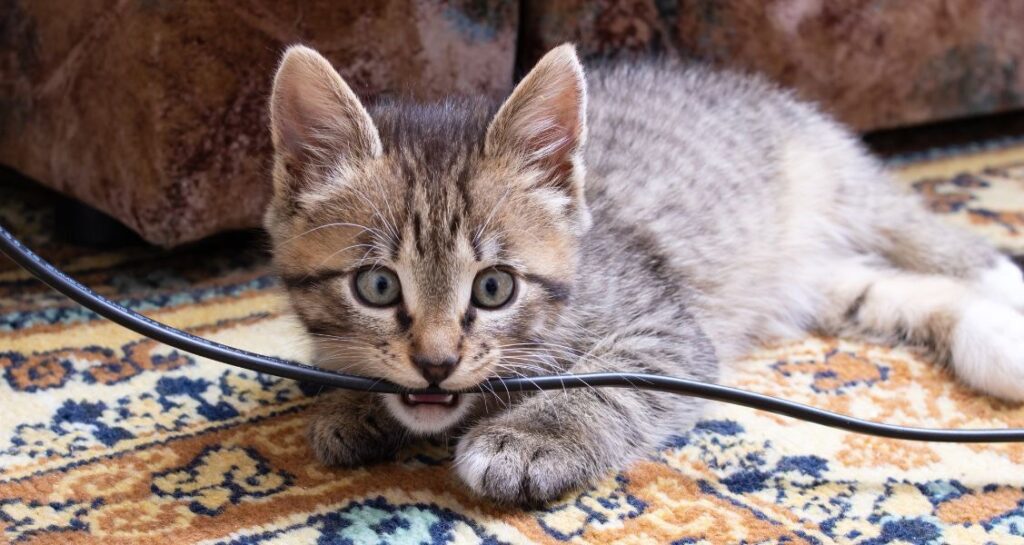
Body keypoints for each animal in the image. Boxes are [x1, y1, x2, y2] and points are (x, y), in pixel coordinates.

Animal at [262, 43, 1024, 506]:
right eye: (377, 286)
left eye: (494, 287)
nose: (436, 363)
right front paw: (351, 407)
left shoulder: (668, 328)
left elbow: (614, 381)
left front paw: (532, 437)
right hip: (812, 281)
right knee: (885, 288)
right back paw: (1001, 345)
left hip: (840, 182)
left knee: (938, 241)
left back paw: (1004, 284)